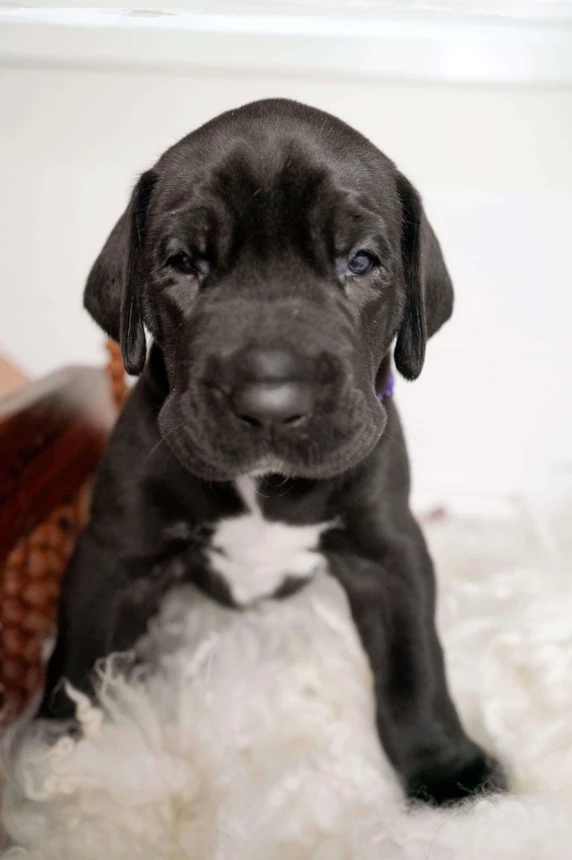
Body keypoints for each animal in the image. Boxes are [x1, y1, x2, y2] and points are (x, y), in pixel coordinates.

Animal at [38, 98, 504, 806]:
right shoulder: (113, 555)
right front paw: (58, 768)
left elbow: (414, 664)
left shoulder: (390, 549)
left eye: (361, 262)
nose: (271, 398)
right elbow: (79, 663)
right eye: (184, 263)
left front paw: (446, 769)